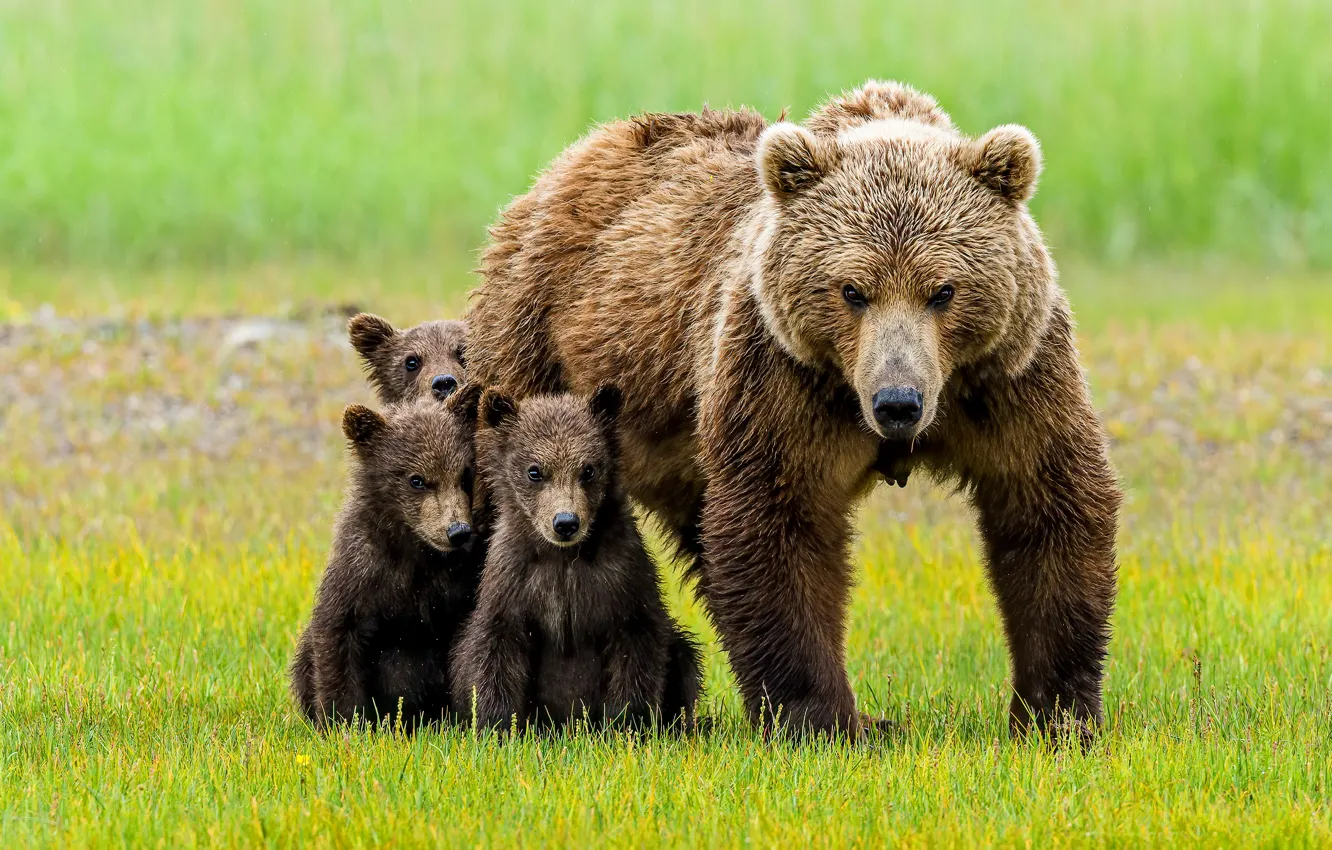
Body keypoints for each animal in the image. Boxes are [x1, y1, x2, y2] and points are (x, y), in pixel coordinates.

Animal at [289, 389, 487, 730]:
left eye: (464, 474)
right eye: (417, 479)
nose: (458, 531)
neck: (414, 551)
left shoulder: (457, 583)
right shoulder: (361, 573)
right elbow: (337, 640)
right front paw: (342, 722)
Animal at [450, 389, 703, 730]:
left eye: (588, 469)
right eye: (534, 470)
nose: (566, 522)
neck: (564, 558)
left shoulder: (623, 580)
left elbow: (636, 653)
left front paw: (627, 722)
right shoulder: (514, 583)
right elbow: (496, 654)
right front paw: (499, 725)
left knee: (683, 658)